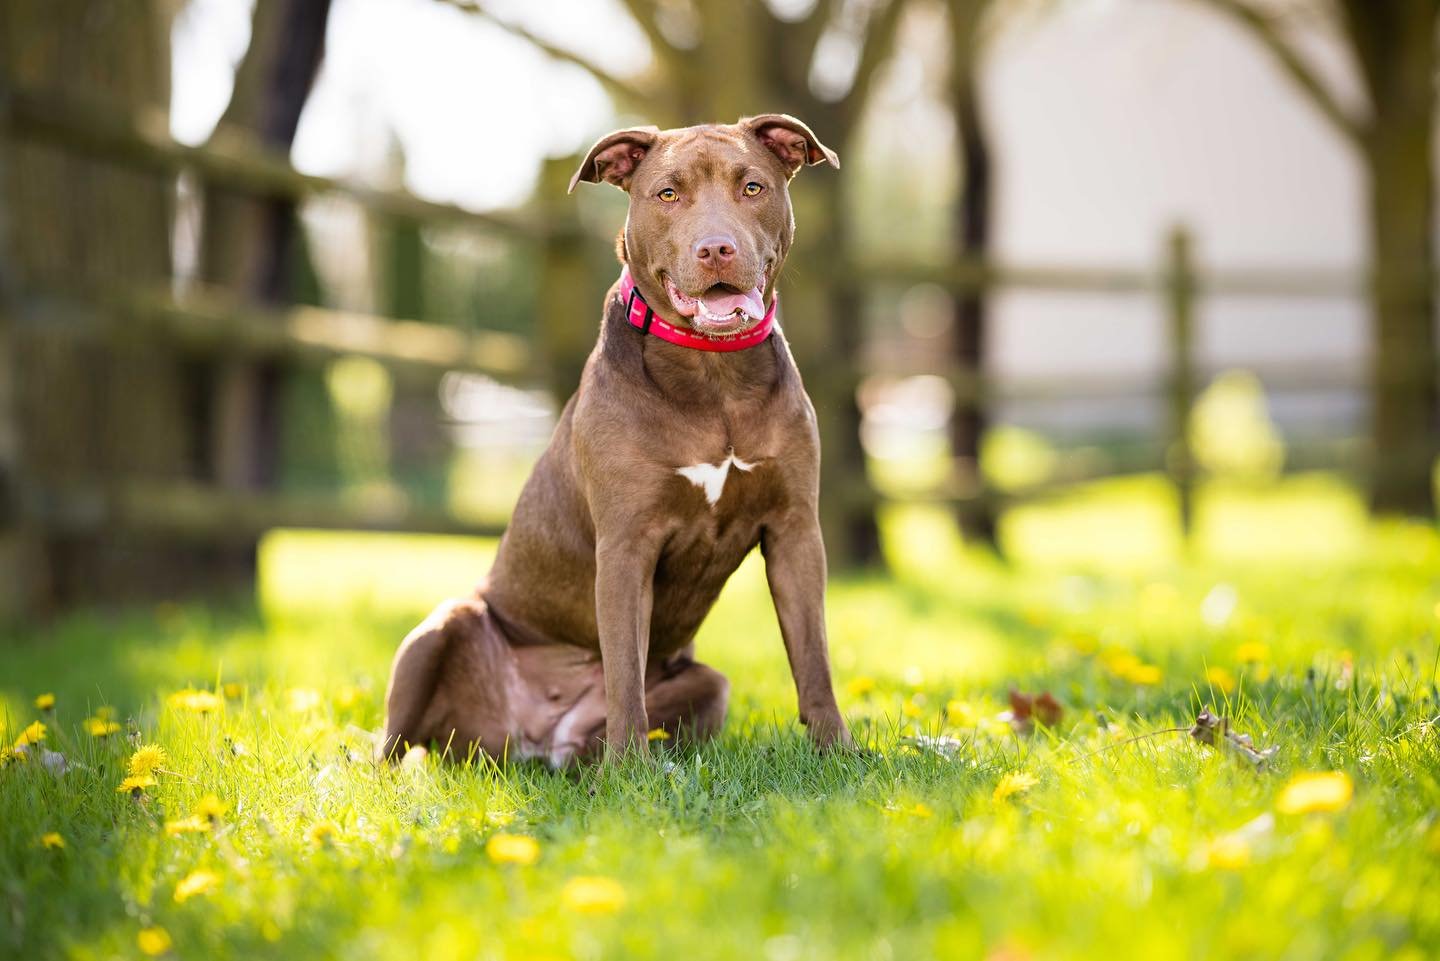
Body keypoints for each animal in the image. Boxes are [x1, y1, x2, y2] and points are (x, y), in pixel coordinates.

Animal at [383, 116, 846, 766]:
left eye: (752, 187)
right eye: (667, 194)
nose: (716, 248)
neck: (714, 374)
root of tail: (527, 741)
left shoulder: (795, 531)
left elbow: (813, 657)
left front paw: (840, 752)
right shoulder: (627, 544)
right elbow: (625, 670)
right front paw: (631, 774)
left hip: (710, 686)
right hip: (439, 628)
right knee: (390, 744)